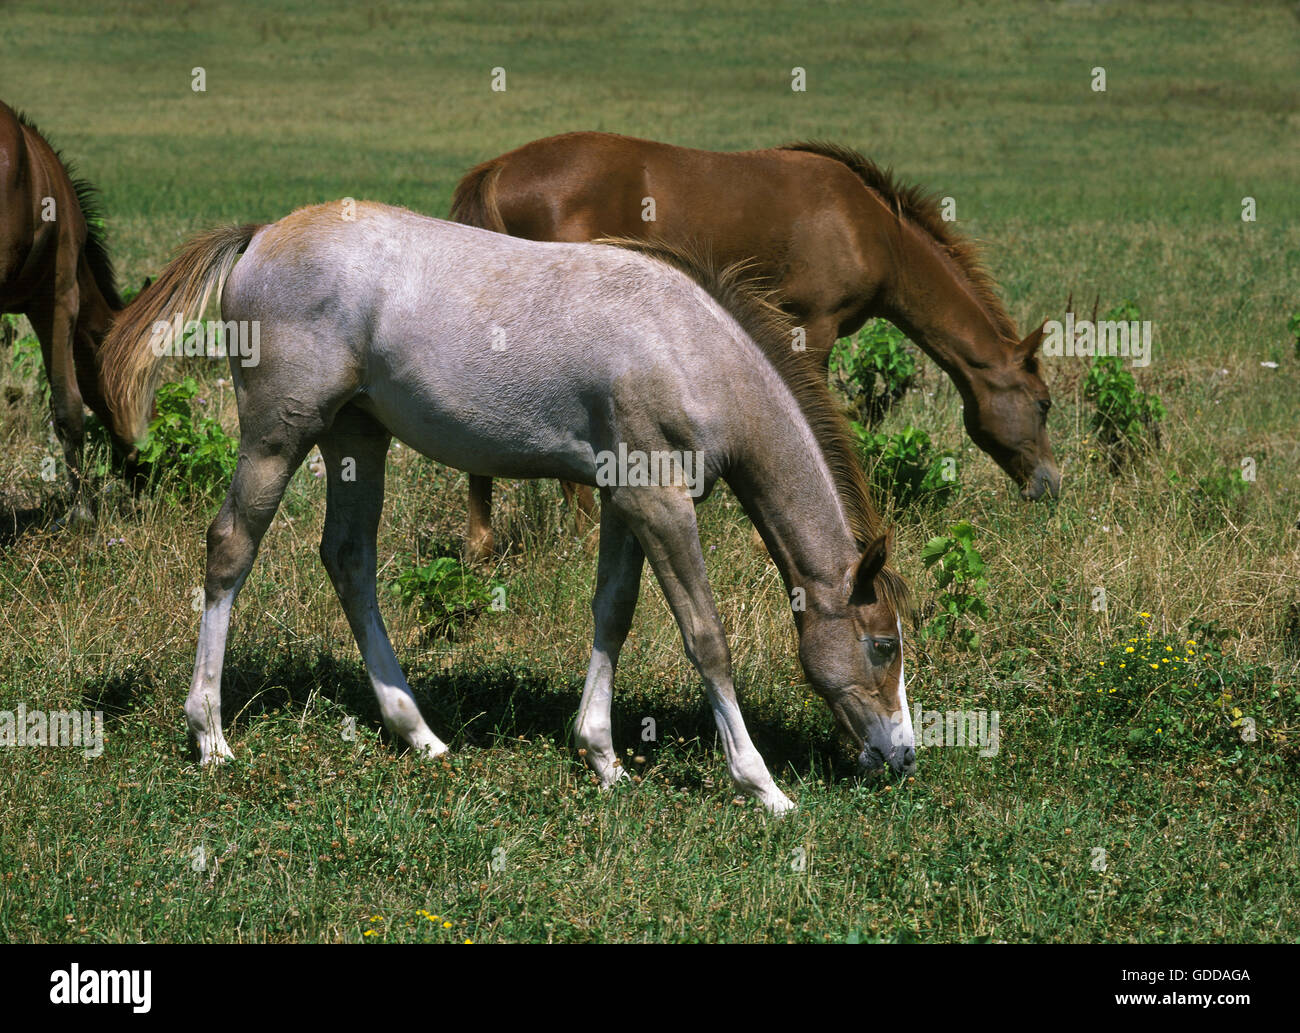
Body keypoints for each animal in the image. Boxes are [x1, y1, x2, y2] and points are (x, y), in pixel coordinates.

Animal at [101, 201, 915, 816]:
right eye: (883, 645)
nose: (902, 754)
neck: (689, 347)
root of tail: (262, 235)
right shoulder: (659, 498)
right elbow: (705, 636)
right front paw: (762, 784)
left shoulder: (622, 498)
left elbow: (613, 613)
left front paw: (602, 756)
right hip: (278, 434)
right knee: (230, 548)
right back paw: (210, 736)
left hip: (357, 436)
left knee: (349, 559)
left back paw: (418, 732)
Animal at [452, 132, 1060, 561]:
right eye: (1045, 403)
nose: (1051, 485)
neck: (871, 229)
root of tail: (498, 170)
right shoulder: (812, 327)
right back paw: (579, 536)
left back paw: (483, 546)